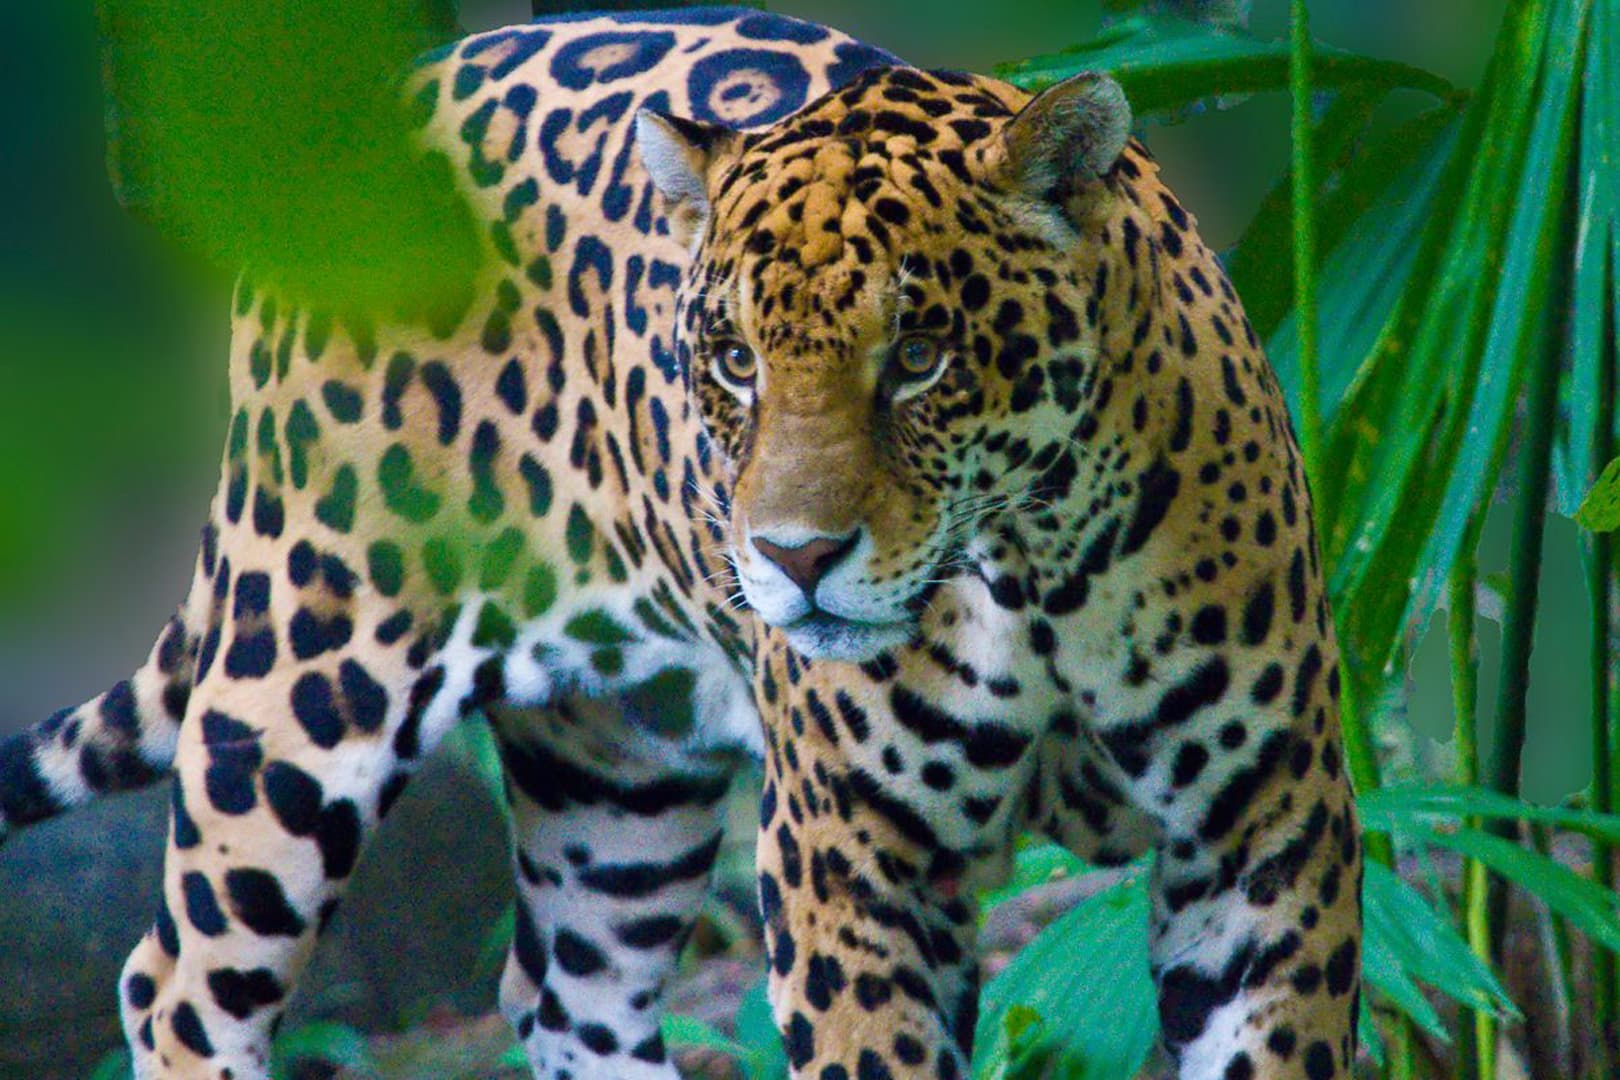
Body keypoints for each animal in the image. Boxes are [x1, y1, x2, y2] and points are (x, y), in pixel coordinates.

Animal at [0, 6, 1361, 1079]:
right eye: (734, 360)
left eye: (921, 357)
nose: (795, 559)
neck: (1033, 569)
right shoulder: (846, 861)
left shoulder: (1265, 839)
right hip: (305, 674)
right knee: (178, 981)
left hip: (621, 774)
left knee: (566, 992)